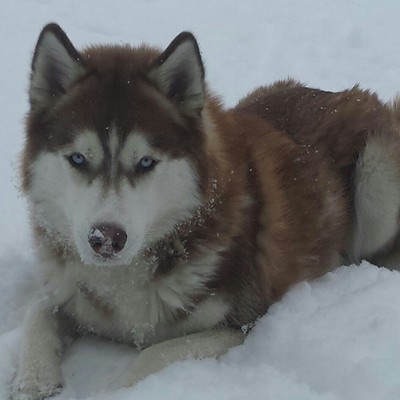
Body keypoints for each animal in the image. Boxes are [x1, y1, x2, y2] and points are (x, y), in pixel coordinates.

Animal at [11, 23, 400, 398]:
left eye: (146, 162)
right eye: (78, 158)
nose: (106, 239)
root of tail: (349, 94)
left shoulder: (241, 324)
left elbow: (153, 354)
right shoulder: (69, 293)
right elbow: (38, 312)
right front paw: (31, 380)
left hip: (378, 173)